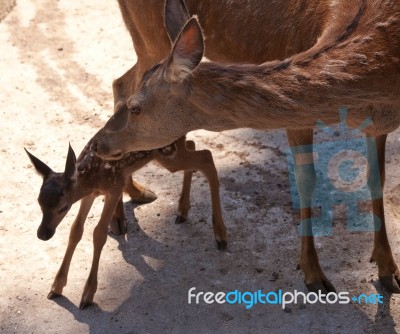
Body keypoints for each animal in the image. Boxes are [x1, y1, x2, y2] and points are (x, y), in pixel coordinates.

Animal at [27, 130, 227, 308]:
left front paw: (87, 295)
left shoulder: (115, 186)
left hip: (168, 154)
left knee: (207, 157)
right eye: (39, 202)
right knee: (193, 146)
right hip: (171, 154)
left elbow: (98, 233)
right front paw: (56, 287)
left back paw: (220, 235)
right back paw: (182, 211)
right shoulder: (90, 194)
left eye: (63, 207)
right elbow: (76, 230)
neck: (92, 176)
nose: (43, 234)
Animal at [92, 0, 400, 292]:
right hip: (147, 36)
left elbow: (377, 179)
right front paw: (313, 274)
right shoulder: (297, 112)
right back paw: (122, 213)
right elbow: (306, 181)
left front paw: (388, 270)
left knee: (120, 80)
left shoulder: (379, 124)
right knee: (121, 81)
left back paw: (149, 197)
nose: (97, 143)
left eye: (136, 109)